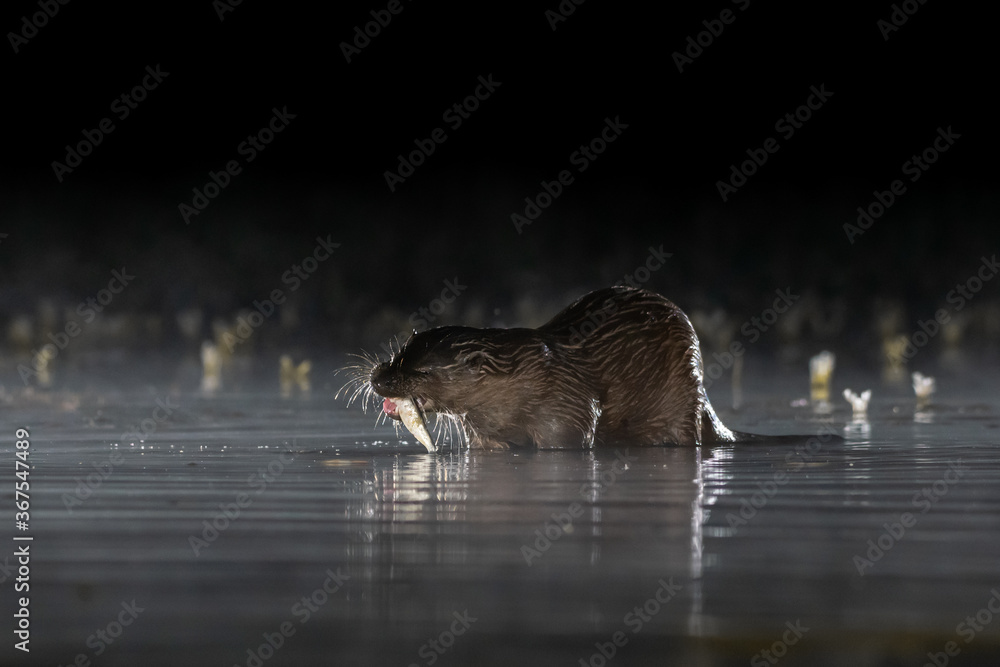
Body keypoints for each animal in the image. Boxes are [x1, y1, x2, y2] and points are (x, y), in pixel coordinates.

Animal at [340, 287, 767, 451]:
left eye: (424, 371)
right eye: (400, 353)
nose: (379, 377)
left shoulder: (567, 410)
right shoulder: (483, 435)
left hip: (681, 402)